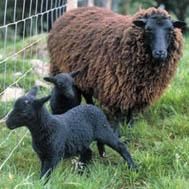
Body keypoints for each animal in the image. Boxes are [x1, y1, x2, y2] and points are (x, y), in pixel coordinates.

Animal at [5, 86, 136, 179]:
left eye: (23, 112)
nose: (7, 123)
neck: (46, 127)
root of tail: (94, 107)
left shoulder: (54, 156)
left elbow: (45, 174)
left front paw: (41, 184)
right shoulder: (43, 156)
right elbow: (43, 171)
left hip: (103, 130)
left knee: (120, 146)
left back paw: (133, 167)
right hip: (82, 140)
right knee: (88, 152)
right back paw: (81, 171)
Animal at [47, 6, 186, 126]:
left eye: (170, 30)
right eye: (148, 29)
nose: (160, 53)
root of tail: (71, 12)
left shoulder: (140, 90)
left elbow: (132, 110)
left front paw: (130, 125)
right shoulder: (117, 87)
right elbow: (119, 111)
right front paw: (119, 126)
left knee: (87, 93)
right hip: (60, 68)